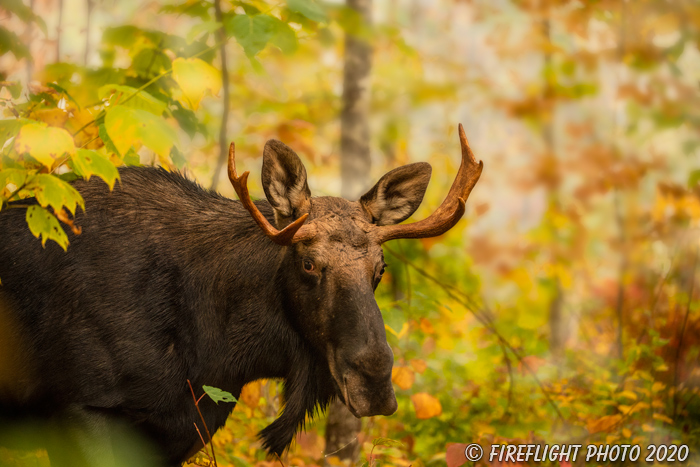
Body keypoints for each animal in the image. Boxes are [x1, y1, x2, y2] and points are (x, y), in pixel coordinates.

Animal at [0, 124, 482, 467]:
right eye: (308, 263)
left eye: (379, 270)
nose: (375, 382)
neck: (219, 351)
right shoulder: (82, 406)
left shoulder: (183, 427)